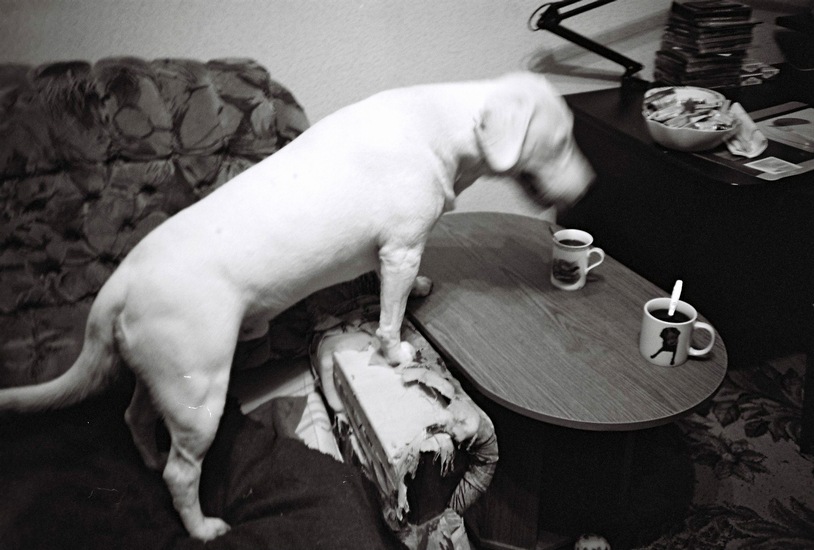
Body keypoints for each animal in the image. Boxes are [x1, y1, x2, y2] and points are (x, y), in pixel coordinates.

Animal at [0, 71, 594, 540]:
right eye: (562, 140)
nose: (589, 184)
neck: (443, 123)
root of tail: (118, 284)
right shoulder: (400, 248)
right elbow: (389, 316)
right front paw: (397, 351)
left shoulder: (391, 256)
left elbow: (397, 287)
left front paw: (423, 287)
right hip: (199, 392)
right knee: (180, 473)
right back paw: (202, 527)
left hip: (164, 379)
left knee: (136, 418)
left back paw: (146, 459)